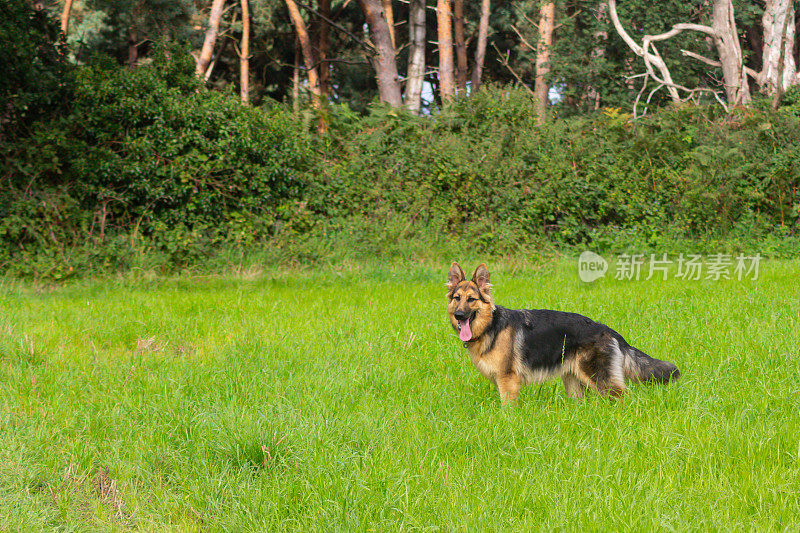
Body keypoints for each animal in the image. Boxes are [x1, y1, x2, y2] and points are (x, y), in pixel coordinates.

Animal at [446, 262, 680, 404]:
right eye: (457, 298)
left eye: (471, 300)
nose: (459, 315)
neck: (490, 326)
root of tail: (607, 329)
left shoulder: (508, 381)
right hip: (574, 383)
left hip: (599, 379)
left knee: (620, 397)